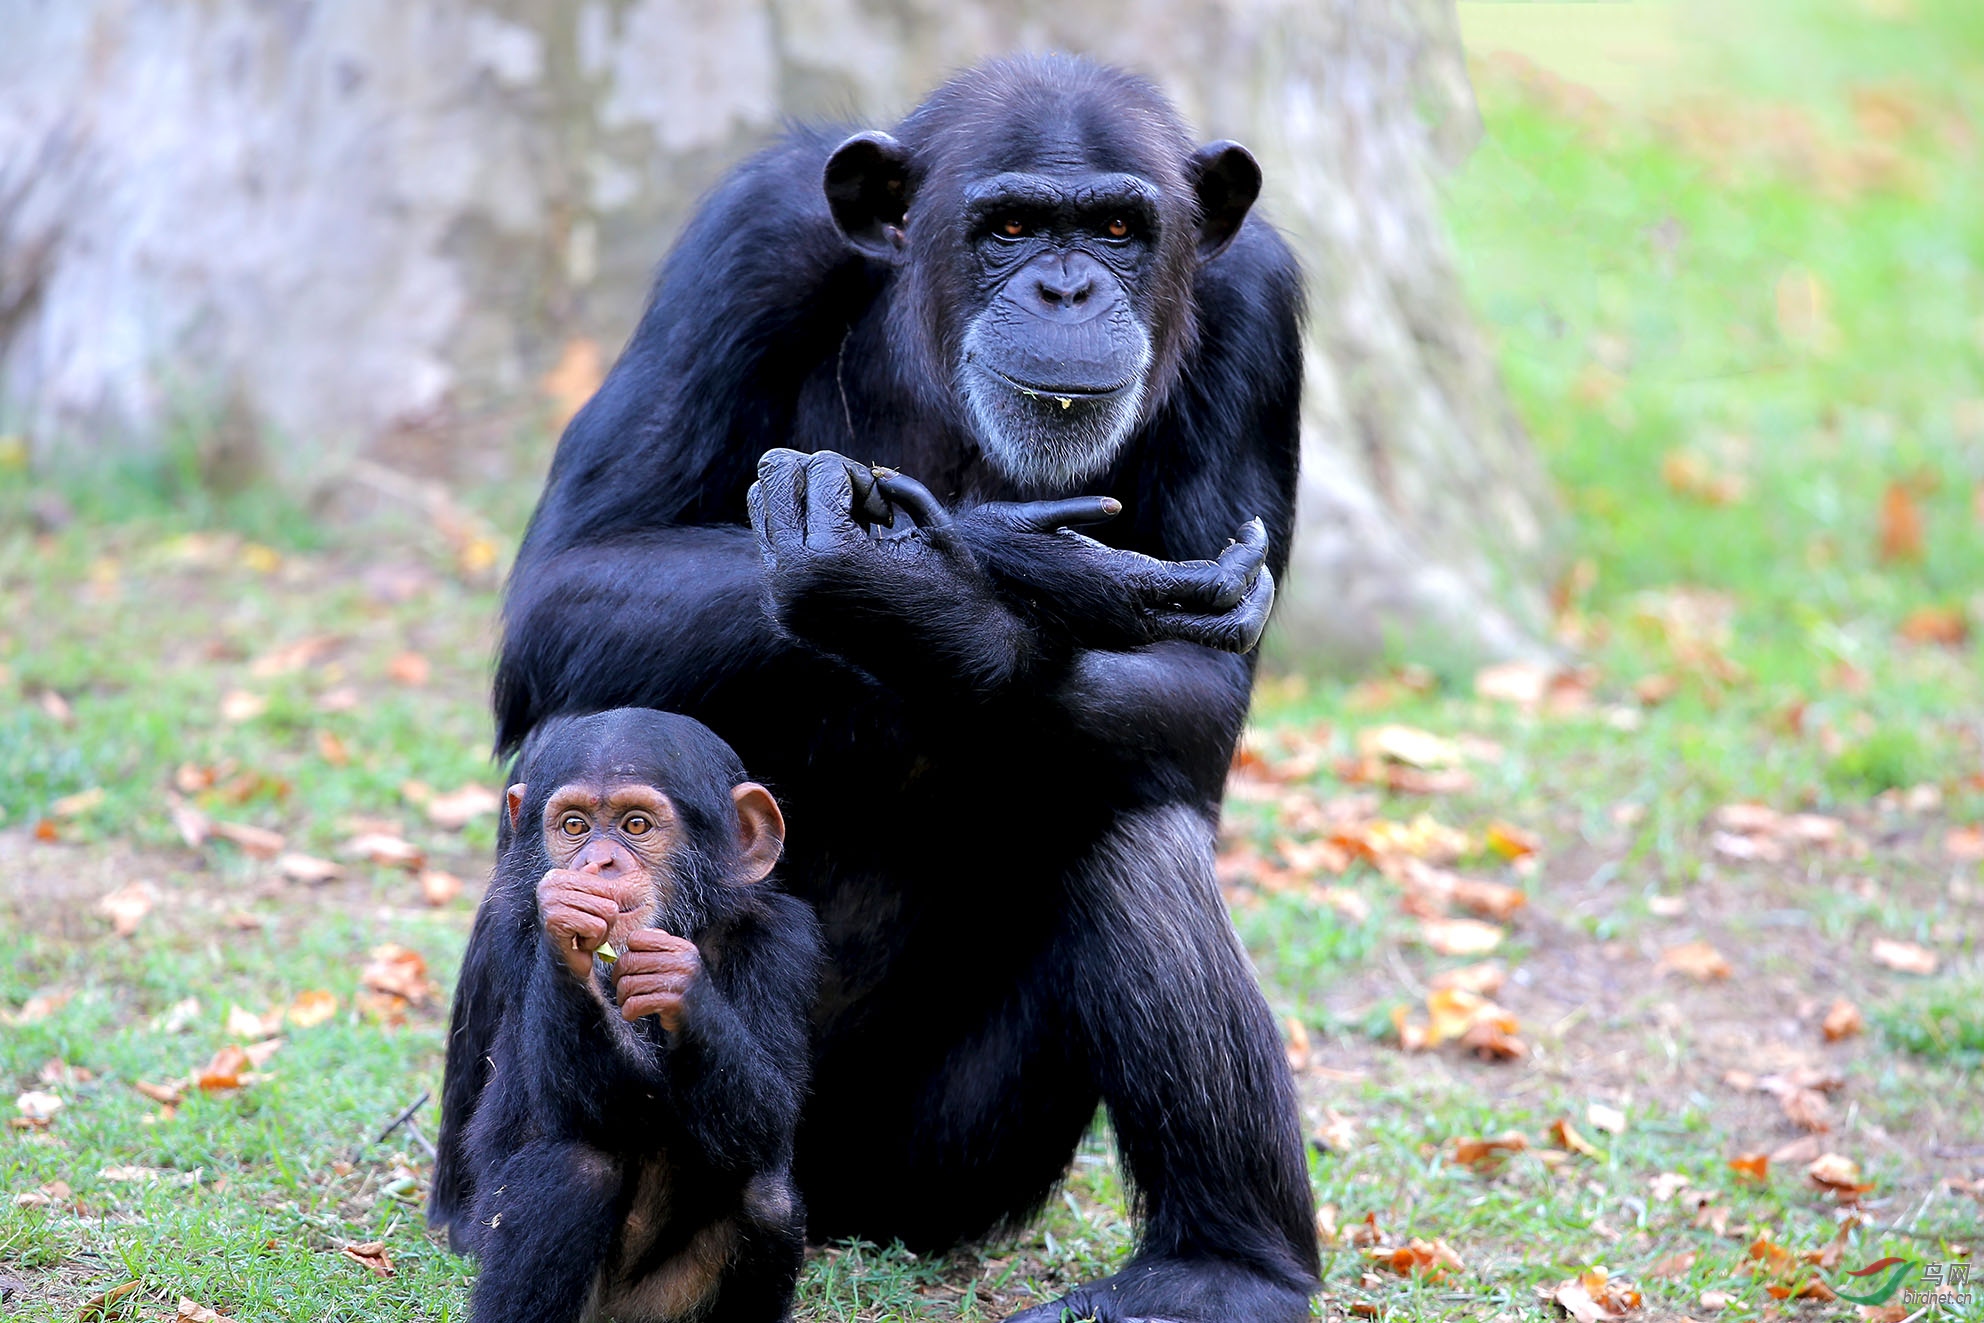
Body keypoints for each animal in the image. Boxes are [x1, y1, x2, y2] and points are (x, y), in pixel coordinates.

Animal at [434, 710, 821, 1323]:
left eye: (636, 824)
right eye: (574, 825)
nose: (598, 861)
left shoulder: (787, 943)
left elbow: (769, 1114)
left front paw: (680, 985)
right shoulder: (508, 933)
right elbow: (584, 1105)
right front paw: (566, 924)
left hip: (667, 1301)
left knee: (770, 1200)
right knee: (577, 1171)